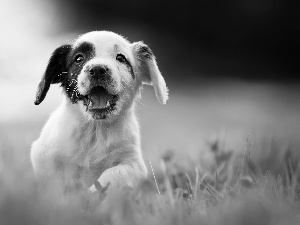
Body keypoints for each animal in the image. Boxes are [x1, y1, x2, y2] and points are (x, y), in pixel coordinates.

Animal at [30, 30, 169, 192]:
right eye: (79, 58)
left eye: (121, 58)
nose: (97, 70)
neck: (95, 131)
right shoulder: (42, 157)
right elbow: (53, 186)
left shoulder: (134, 166)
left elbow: (111, 176)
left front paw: (90, 195)